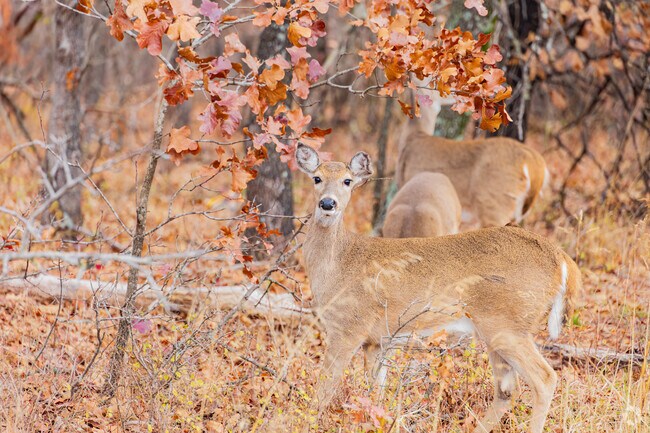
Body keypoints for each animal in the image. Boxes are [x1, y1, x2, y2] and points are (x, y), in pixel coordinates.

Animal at [296, 144, 580, 433]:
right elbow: (375, 394)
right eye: (316, 178)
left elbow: (323, 391)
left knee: (544, 379)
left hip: (508, 325)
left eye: (347, 180)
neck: (340, 263)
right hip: (497, 331)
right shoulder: (377, 341)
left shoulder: (348, 329)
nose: (327, 203)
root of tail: (562, 260)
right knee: (507, 390)